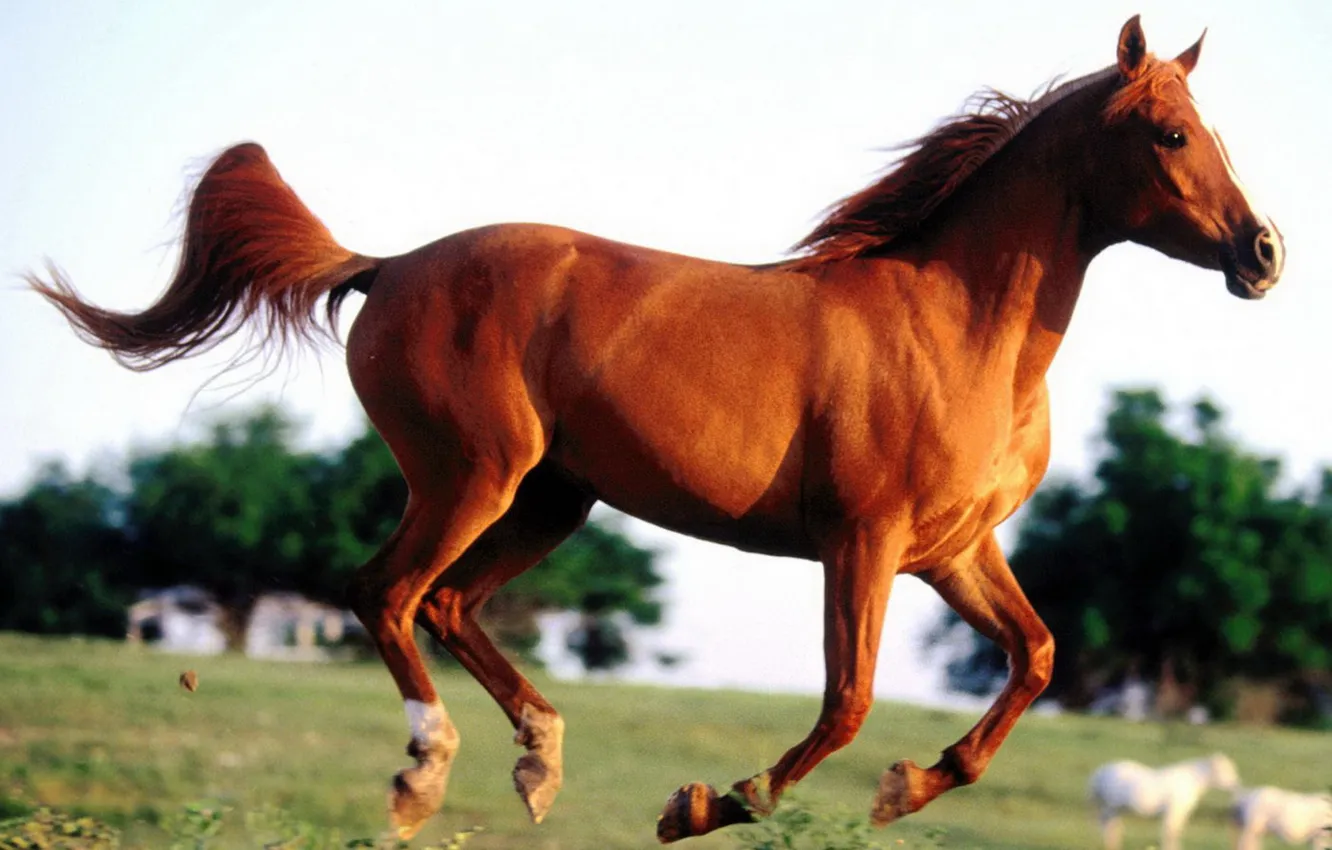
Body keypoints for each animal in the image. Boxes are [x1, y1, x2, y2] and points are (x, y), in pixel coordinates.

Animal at [1089, 753, 1241, 850]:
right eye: (1224, 770)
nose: (1236, 785)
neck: (1190, 779)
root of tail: (1101, 771)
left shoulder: (1180, 813)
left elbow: (1174, 832)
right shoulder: (1174, 810)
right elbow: (1170, 832)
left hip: (1115, 809)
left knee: (1112, 825)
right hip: (1110, 808)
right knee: (1108, 825)